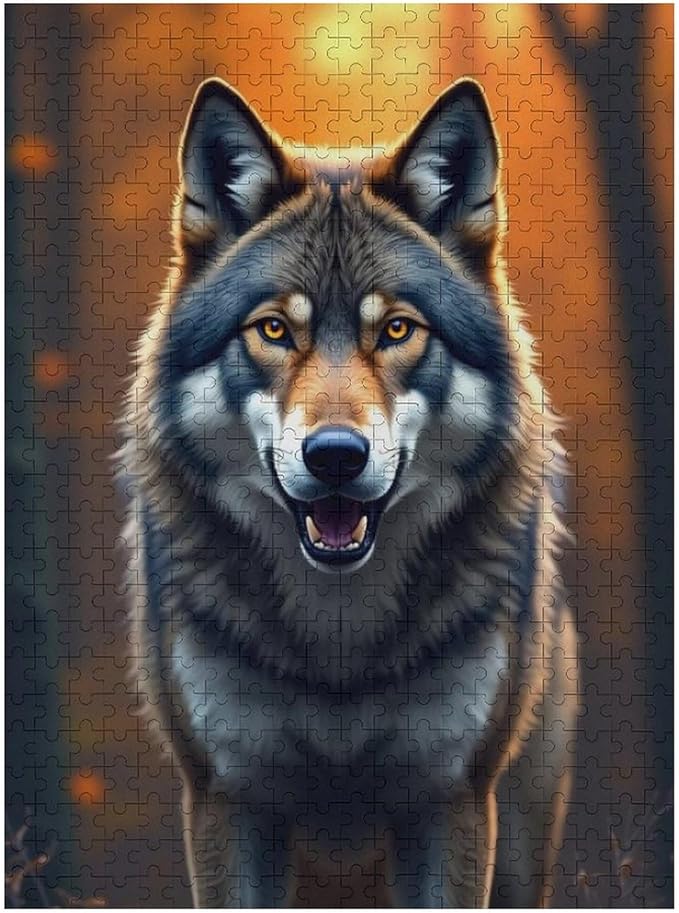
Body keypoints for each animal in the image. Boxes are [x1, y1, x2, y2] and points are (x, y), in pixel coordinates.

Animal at [121, 76, 577, 908]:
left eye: (396, 329)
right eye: (274, 329)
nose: (334, 455)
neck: (339, 644)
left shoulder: (451, 797)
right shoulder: (226, 797)